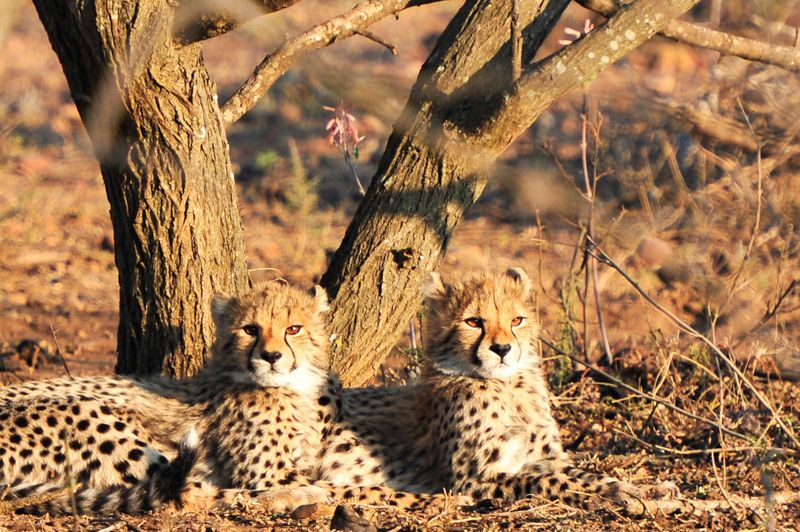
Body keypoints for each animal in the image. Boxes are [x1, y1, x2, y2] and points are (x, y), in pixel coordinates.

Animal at [318, 268, 673, 511]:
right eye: (473, 322)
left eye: (517, 320)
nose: (502, 349)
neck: (508, 386)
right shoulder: (474, 479)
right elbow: (552, 481)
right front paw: (612, 497)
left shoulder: (544, 457)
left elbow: (584, 474)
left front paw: (635, 490)